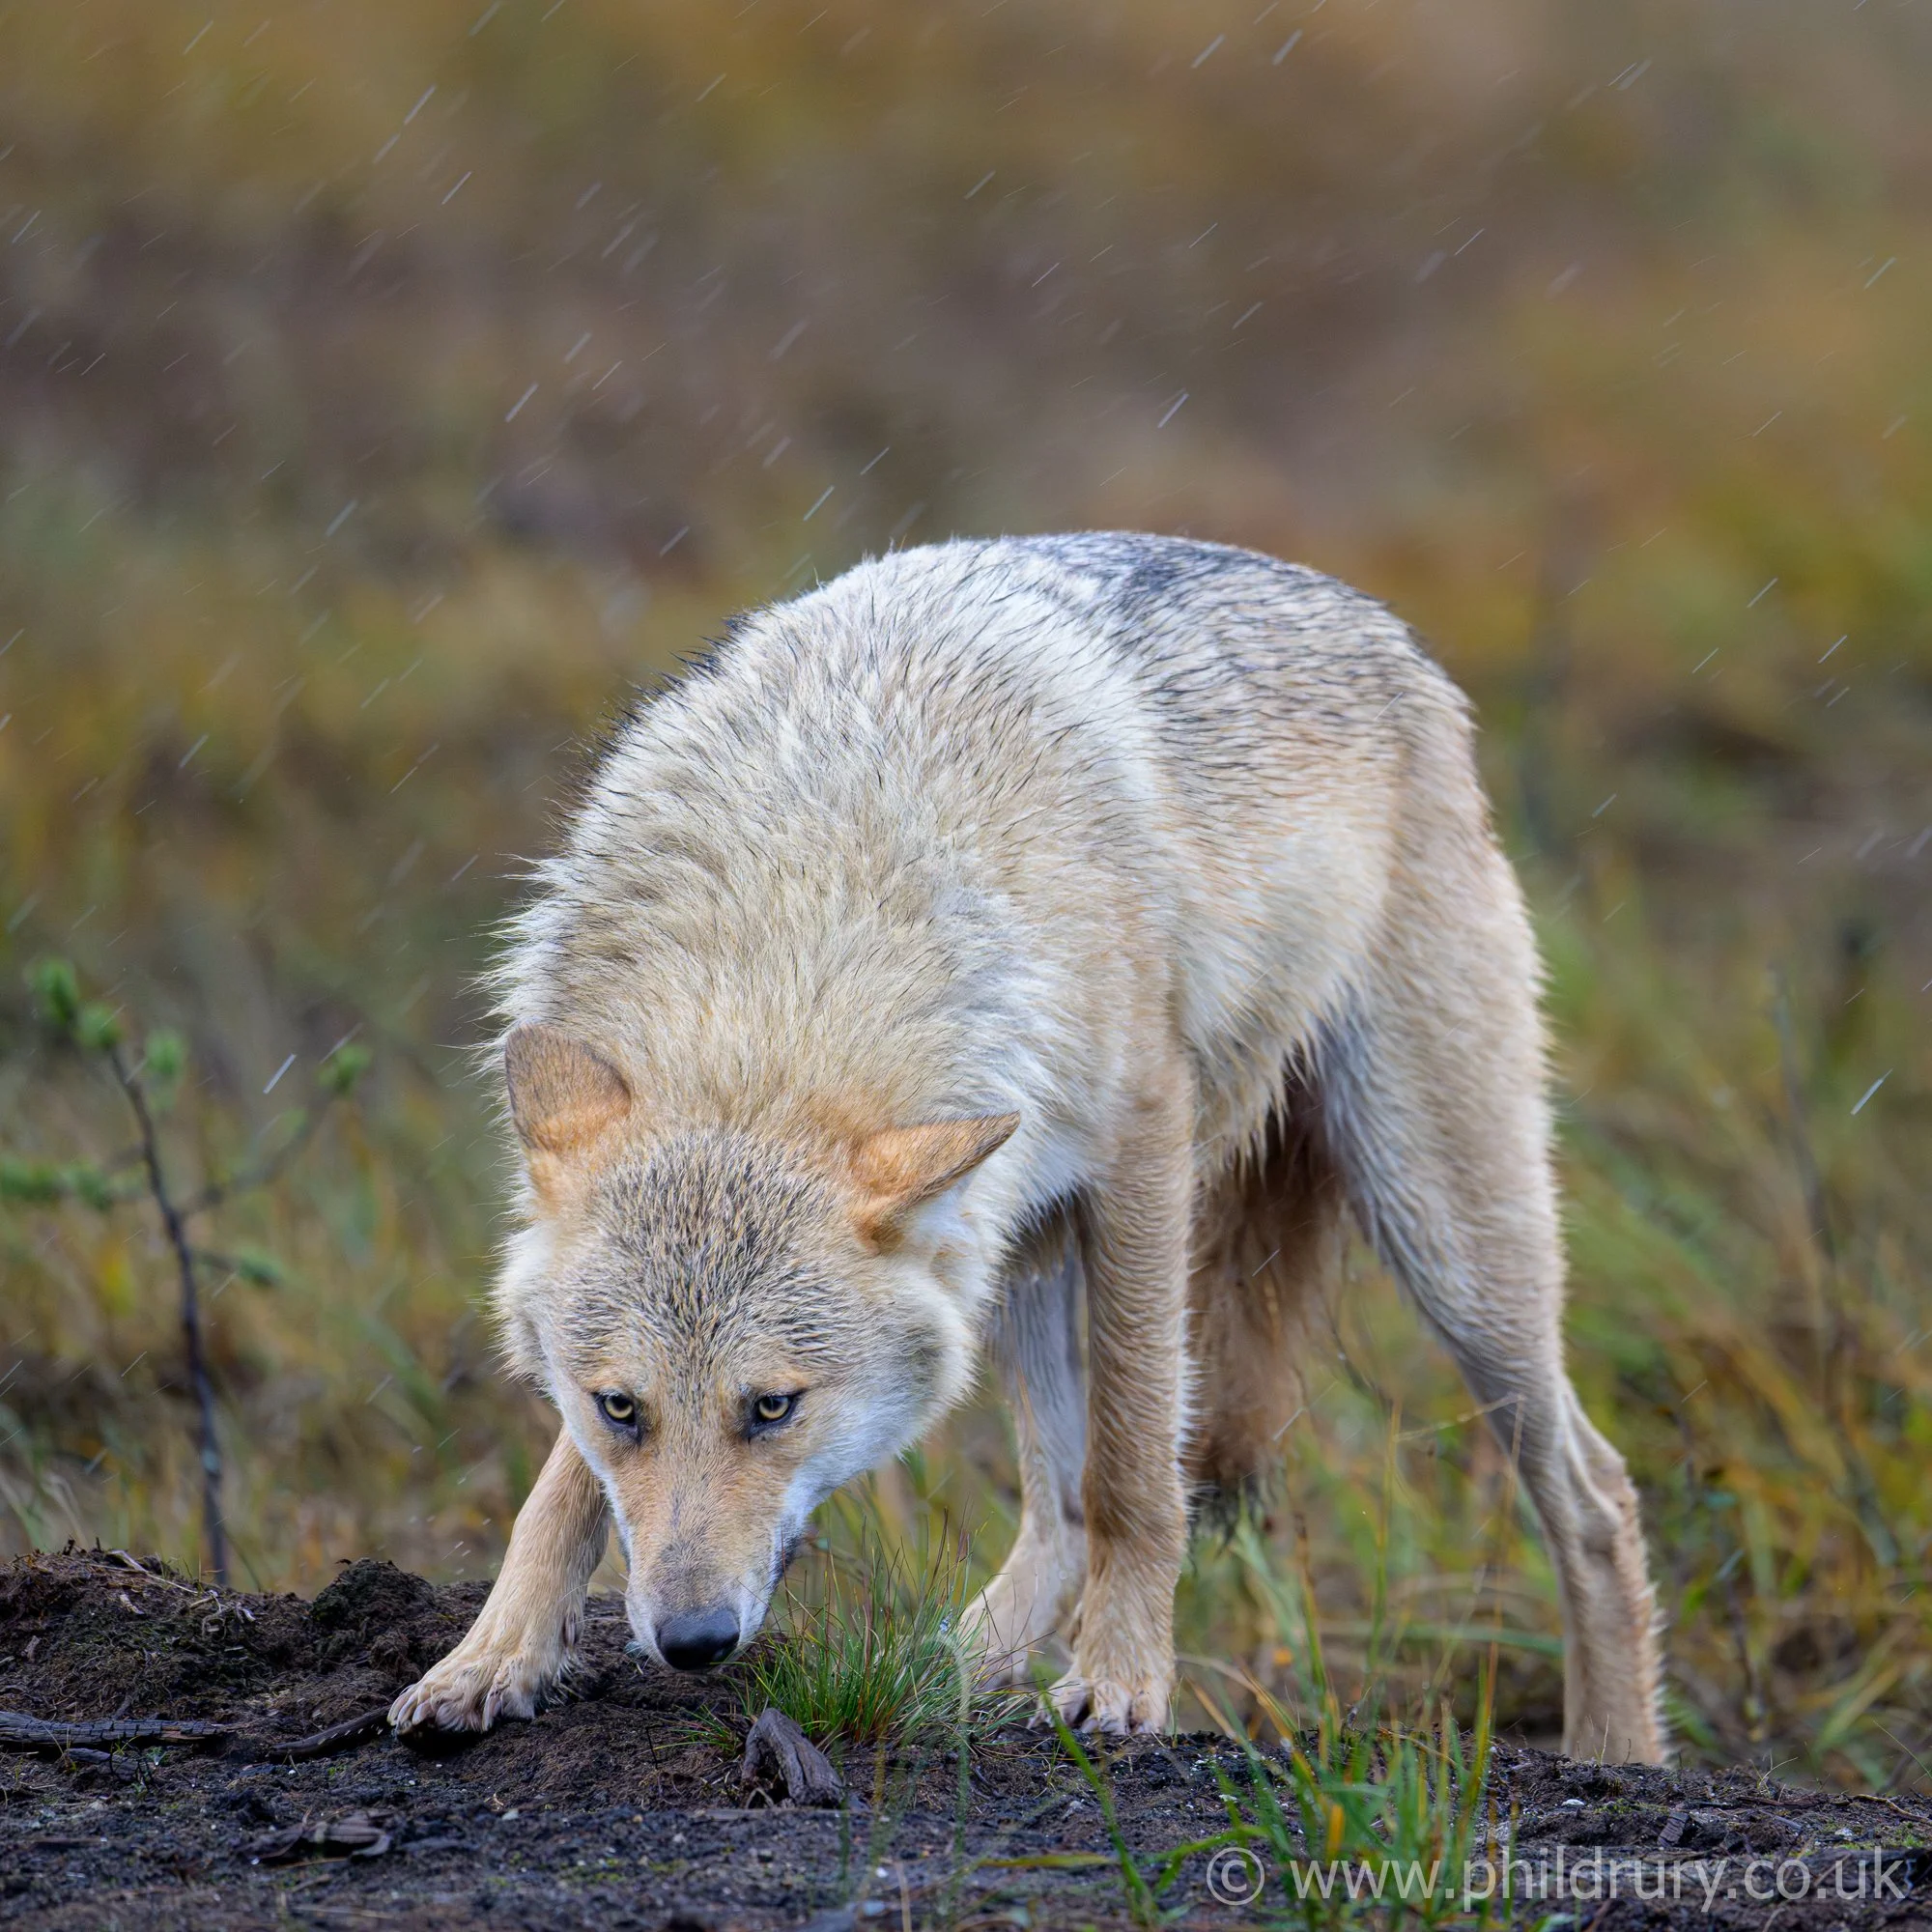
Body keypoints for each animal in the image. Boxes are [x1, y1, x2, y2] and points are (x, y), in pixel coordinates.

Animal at [389, 532, 1663, 1760]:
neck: (788, 942)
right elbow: (552, 1496)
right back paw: (938, 1672)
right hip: (1015, 1240)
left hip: (1439, 1236)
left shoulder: (1143, 1148)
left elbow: (1138, 1466)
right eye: (620, 1407)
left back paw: (1616, 1748)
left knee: (1594, 1496)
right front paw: (490, 1655)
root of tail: (1388, 633)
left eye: (772, 1406)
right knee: (1054, 1511)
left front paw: (1123, 1682)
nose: (692, 1640)